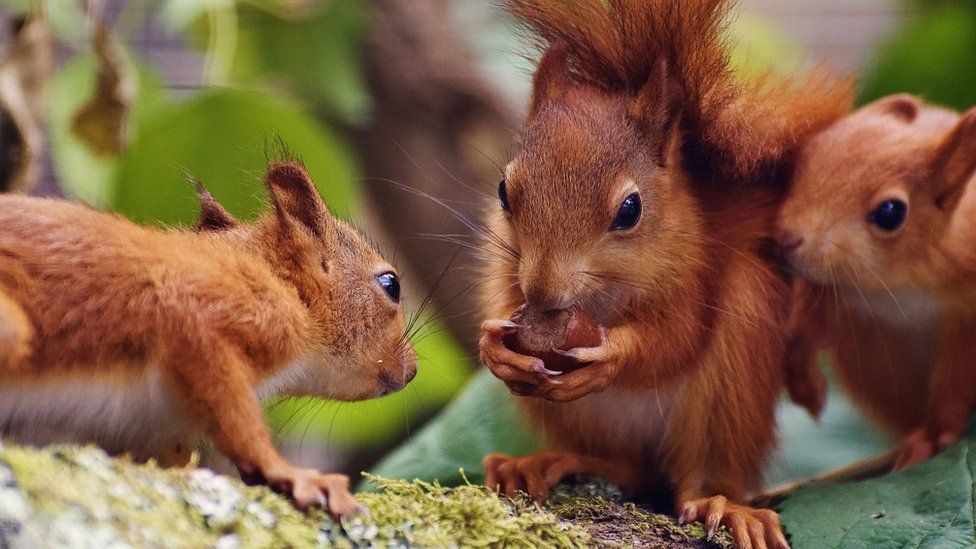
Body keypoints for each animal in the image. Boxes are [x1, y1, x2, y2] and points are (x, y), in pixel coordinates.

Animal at [0, 161, 417, 518]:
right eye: (391, 284)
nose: (412, 370)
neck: (279, 282)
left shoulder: (152, 427)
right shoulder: (206, 316)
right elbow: (233, 413)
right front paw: (288, 472)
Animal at [476, 0, 852, 547]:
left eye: (631, 209)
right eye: (504, 190)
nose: (543, 292)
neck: (601, 296)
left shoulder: (693, 275)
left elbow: (675, 340)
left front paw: (612, 355)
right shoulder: (505, 268)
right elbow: (500, 304)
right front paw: (494, 347)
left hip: (730, 386)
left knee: (698, 474)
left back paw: (723, 504)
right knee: (626, 468)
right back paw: (538, 464)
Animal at [777, 94, 976, 470]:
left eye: (890, 213)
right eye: (800, 163)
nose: (785, 238)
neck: (899, 283)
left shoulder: (966, 311)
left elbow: (957, 377)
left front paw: (933, 437)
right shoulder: (837, 290)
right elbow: (807, 322)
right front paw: (802, 376)